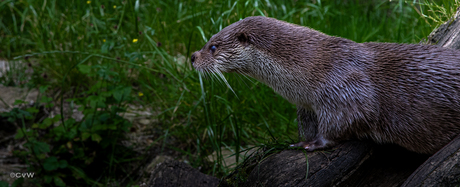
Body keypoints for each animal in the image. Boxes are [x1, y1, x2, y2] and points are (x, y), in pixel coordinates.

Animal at [190, 16, 460, 154]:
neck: (310, 66)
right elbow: (307, 124)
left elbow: (346, 120)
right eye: (207, 40)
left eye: (213, 46)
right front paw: (301, 140)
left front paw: (314, 144)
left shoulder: (344, 88)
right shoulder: (306, 104)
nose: (193, 56)